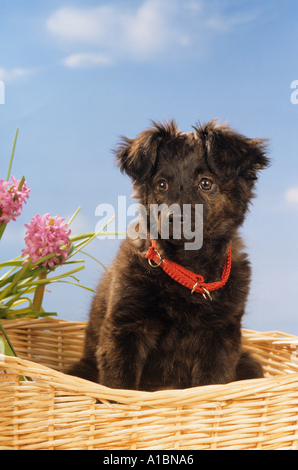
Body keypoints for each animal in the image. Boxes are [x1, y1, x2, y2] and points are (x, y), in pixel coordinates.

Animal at [68, 119, 268, 392]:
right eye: (161, 184)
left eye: (206, 183)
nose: (173, 219)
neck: (187, 266)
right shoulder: (126, 327)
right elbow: (120, 385)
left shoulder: (220, 334)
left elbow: (211, 383)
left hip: (248, 362)